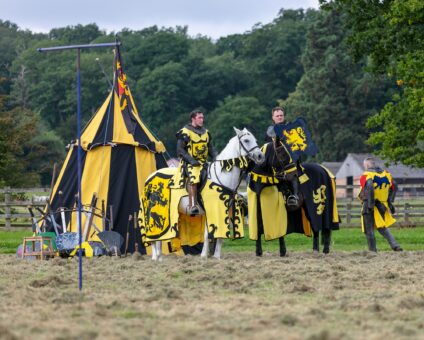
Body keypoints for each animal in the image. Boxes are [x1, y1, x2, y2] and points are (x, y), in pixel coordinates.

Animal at [151, 127, 264, 260]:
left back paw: (159, 257)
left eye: (255, 140)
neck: (221, 175)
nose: (260, 156)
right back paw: (155, 256)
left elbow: (219, 236)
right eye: (246, 140)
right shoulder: (211, 210)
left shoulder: (223, 211)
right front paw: (204, 255)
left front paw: (216, 256)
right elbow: (207, 234)